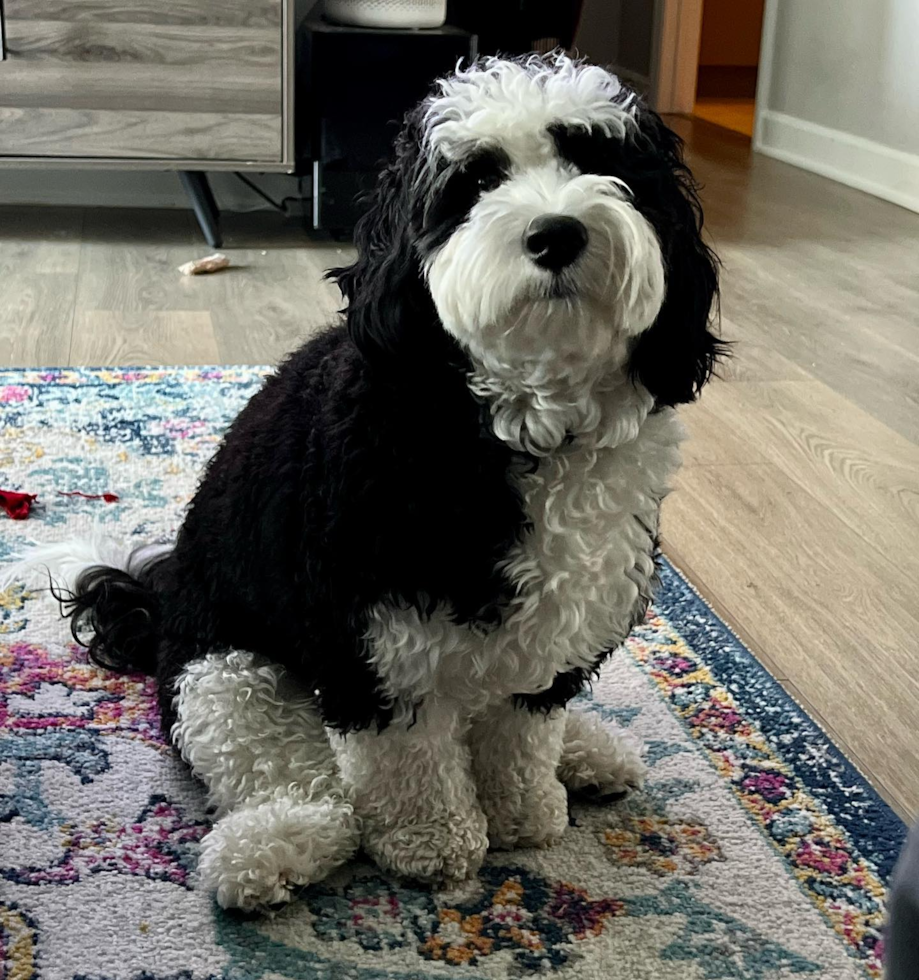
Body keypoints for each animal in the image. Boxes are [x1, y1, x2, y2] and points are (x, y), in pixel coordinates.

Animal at [23, 53, 724, 912]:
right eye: (474, 182)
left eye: (602, 161)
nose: (556, 232)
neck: (508, 424)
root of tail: (152, 603)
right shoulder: (368, 638)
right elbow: (406, 759)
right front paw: (434, 844)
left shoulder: (558, 622)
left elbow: (522, 731)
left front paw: (523, 813)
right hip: (230, 675)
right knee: (303, 786)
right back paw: (270, 849)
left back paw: (588, 752)